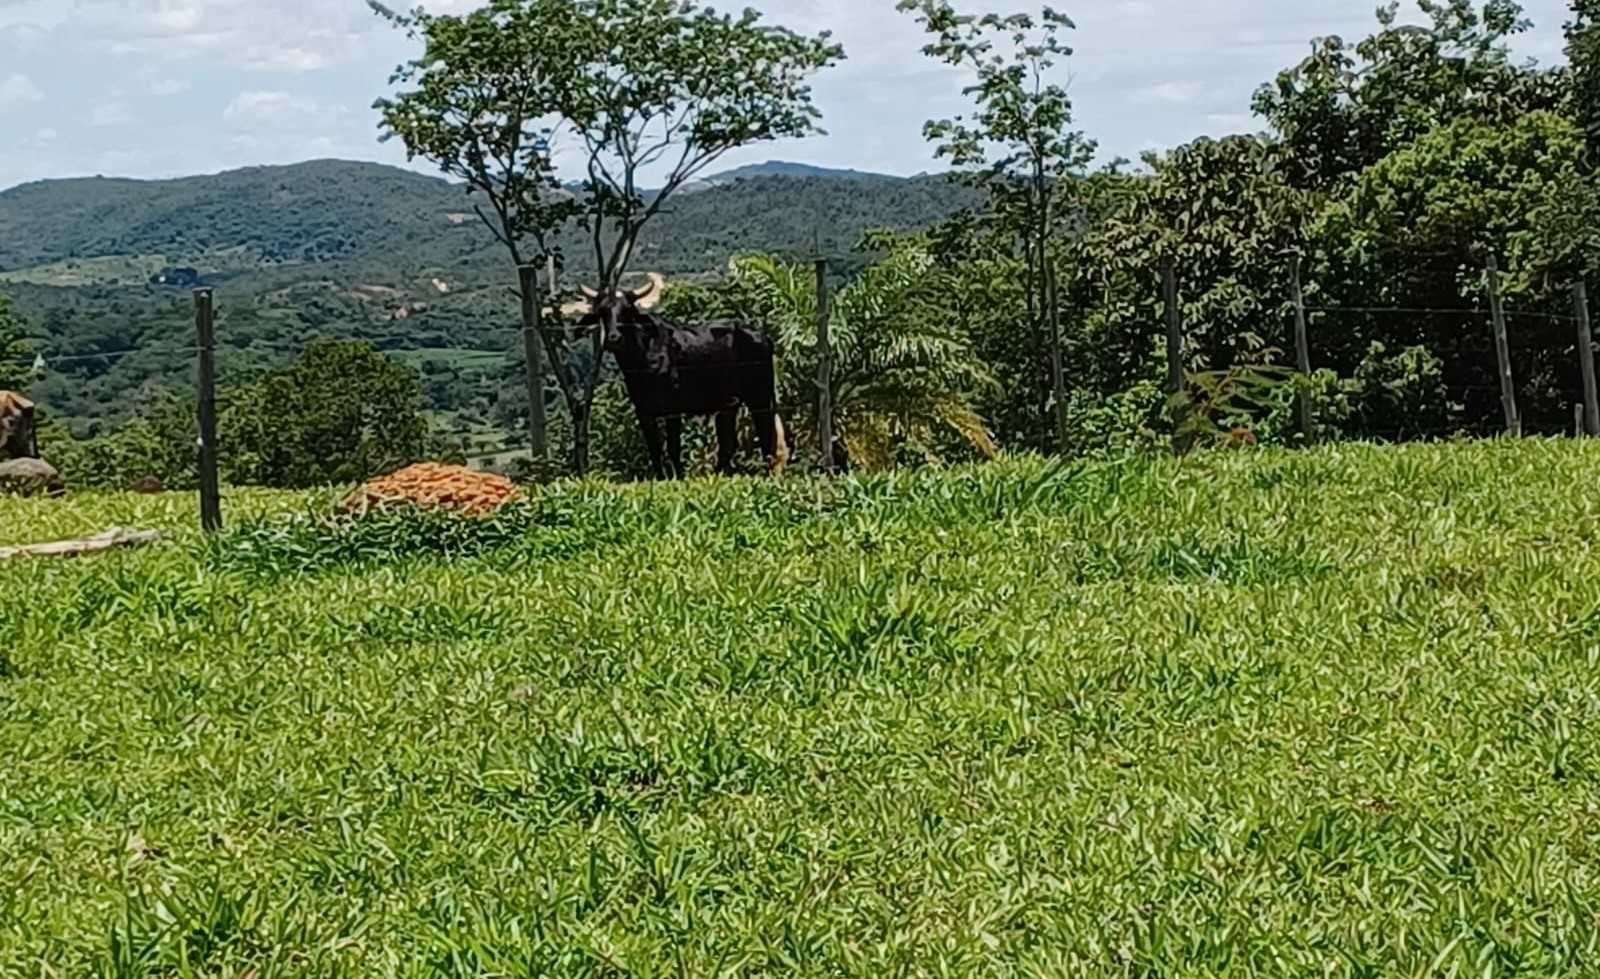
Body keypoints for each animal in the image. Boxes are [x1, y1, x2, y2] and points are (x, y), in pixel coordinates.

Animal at [576, 275, 787, 476]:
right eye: (601, 311)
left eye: (627, 309)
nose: (613, 339)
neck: (643, 358)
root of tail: (762, 335)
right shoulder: (643, 410)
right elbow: (654, 449)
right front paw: (660, 478)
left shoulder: (672, 408)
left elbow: (673, 447)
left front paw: (678, 475)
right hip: (729, 404)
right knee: (728, 443)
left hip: (759, 397)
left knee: (766, 434)